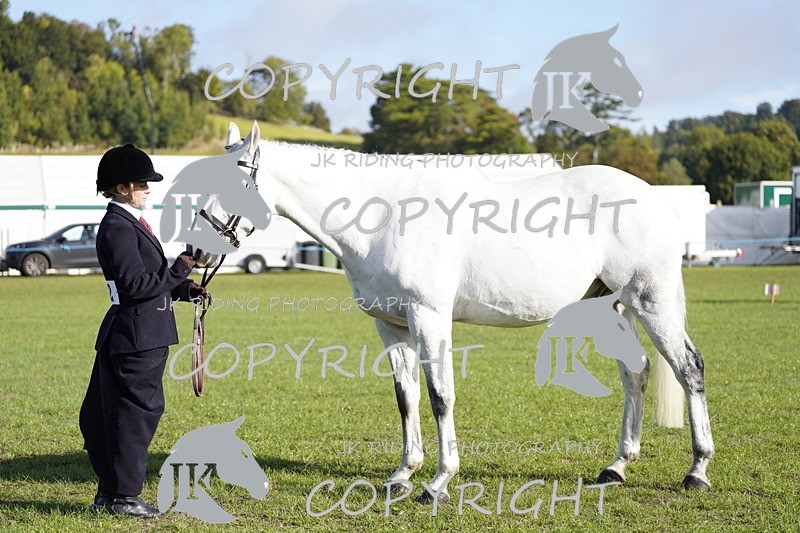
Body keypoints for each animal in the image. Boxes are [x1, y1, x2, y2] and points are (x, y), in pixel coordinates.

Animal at [217, 121, 713, 499]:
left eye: (238, 180)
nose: (203, 248)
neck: (384, 218)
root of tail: (654, 198)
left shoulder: (429, 317)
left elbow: (441, 395)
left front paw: (437, 483)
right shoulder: (391, 326)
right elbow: (406, 397)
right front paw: (402, 475)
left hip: (651, 303)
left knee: (688, 368)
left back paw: (697, 471)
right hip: (613, 307)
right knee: (636, 372)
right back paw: (617, 467)